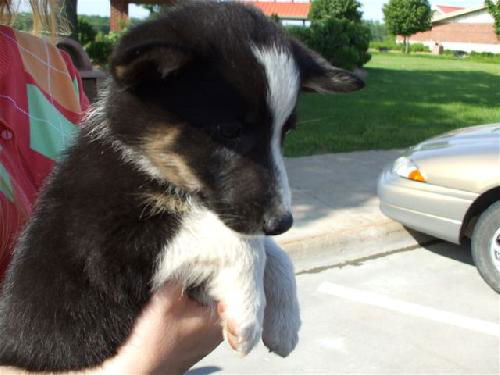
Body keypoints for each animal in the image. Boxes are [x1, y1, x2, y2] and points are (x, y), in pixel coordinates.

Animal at [0, 1, 364, 374]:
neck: (142, 162)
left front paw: (285, 323)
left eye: (285, 132)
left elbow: (270, 250)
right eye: (229, 130)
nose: (282, 223)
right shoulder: (103, 247)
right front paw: (247, 313)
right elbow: (240, 243)